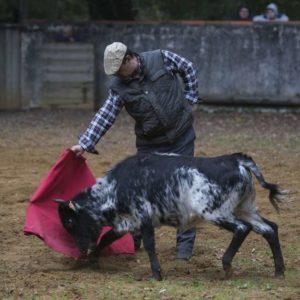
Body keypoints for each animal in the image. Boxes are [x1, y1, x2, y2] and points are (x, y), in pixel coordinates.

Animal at [54, 154, 288, 280]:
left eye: (70, 221)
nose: (82, 249)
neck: (115, 187)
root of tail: (237, 160)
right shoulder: (127, 222)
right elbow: (107, 237)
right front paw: (94, 259)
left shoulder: (144, 216)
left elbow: (149, 244)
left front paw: (156, 273)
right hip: (245, 209)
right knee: (270, 228)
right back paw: (279, 270)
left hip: (216, 212)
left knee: (242, 229)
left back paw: (227, 265)